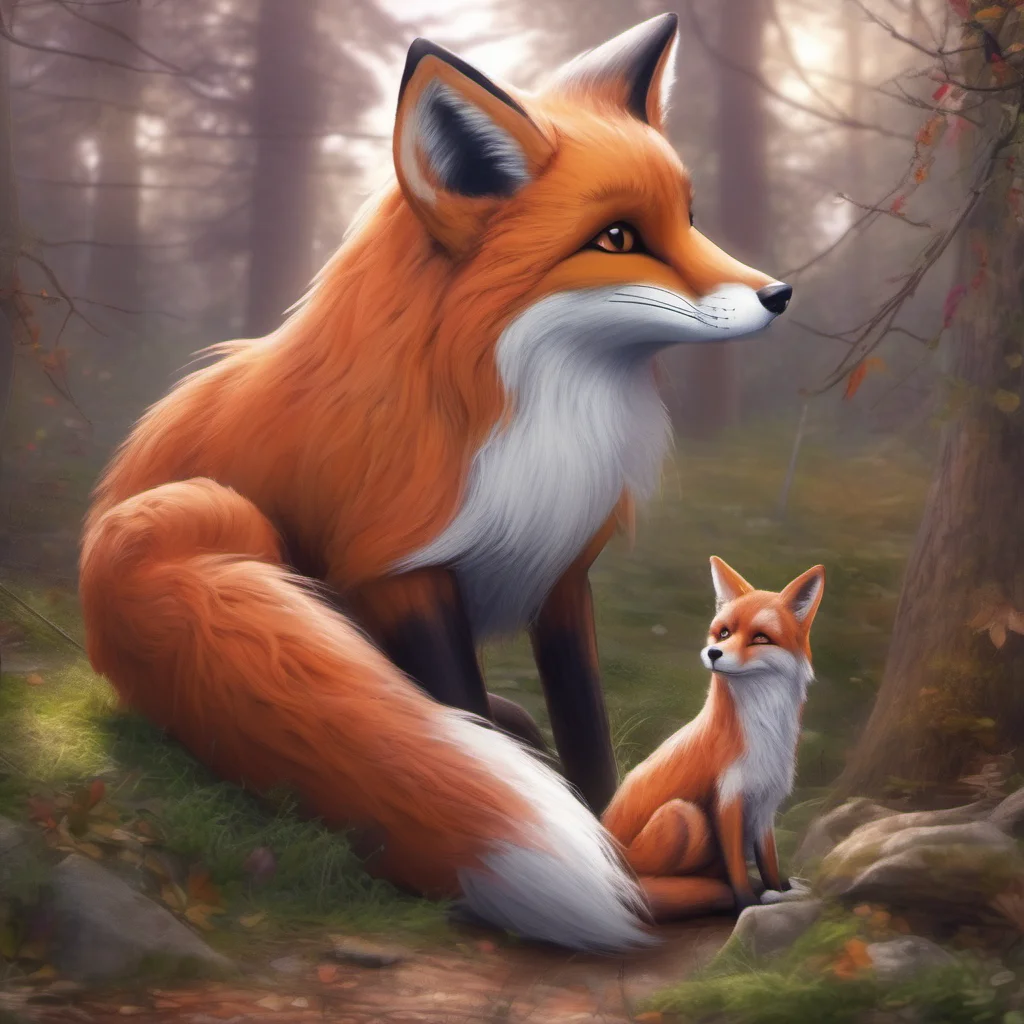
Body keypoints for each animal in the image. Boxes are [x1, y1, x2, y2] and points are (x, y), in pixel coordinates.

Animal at [78, 14, 793, 952]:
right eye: (617, 239)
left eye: (691, 218)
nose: (781, 293)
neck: (525, 411)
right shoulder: (403, 572)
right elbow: (454, 708)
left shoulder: (562, 575)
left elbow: (586, 727)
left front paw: (609, 825)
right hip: (218, 519)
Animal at [601, 558, 825, 922]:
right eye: (724, 632)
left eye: (760, 637)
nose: (713, 652)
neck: (765, 734)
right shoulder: (728, 800)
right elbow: (737, 868)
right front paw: (746, 904)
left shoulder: (765, 805)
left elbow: (769, 861)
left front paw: (779, 889)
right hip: (682, 816)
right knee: (650, 883)